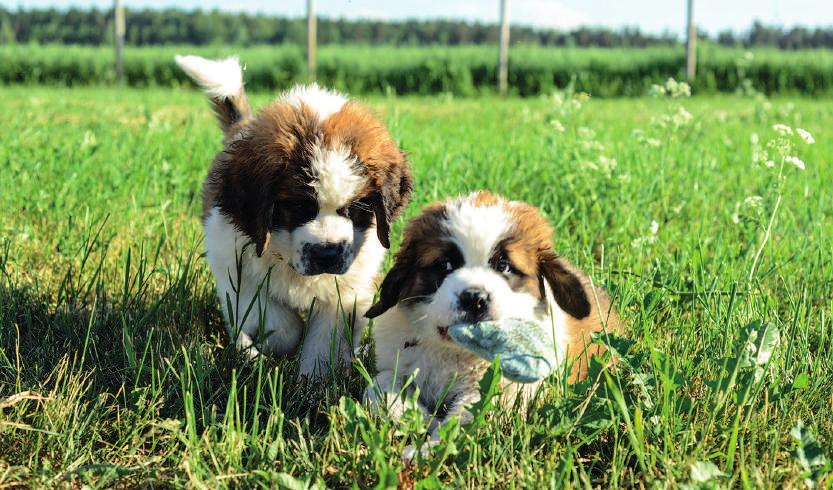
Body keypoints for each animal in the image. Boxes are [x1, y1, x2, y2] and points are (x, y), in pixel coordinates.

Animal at [176, 56, 412, 376]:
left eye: (356, 209)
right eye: (298, 207)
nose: (327, 254)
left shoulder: (347, 289)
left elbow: (325, 337)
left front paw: (313, 378)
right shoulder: (235, 268)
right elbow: (279, 323)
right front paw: (274, 346)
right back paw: (246, 352)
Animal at [364, 191, 616, 432]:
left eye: (504, 266)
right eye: (445, 265)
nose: (474, 299)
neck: (459, 353)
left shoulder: (507, 390)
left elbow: (469, 416)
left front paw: (431, 443)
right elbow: (378, 385)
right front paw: (418, 417)